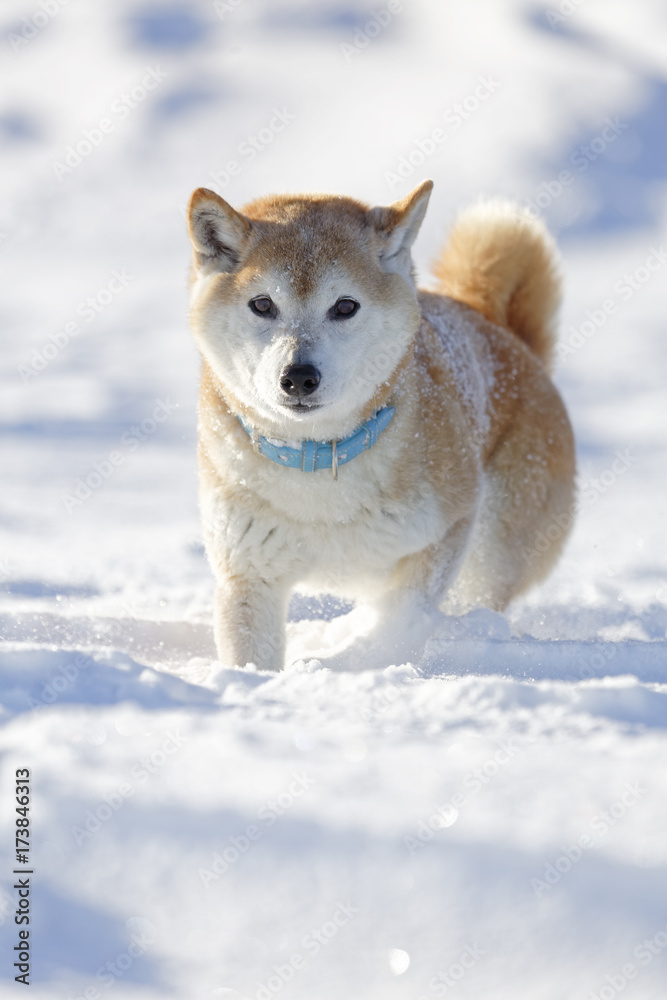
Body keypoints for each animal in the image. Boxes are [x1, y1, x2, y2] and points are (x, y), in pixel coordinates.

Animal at [187, 181, 576, 672]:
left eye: (345, 306)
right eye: (262, 304)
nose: (299, 376)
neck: (321, 463)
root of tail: (507, 335)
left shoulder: (446, 531)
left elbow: (403, 619)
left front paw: (368, 658)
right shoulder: (246, 570)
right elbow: (250, 657)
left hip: (490, 555)